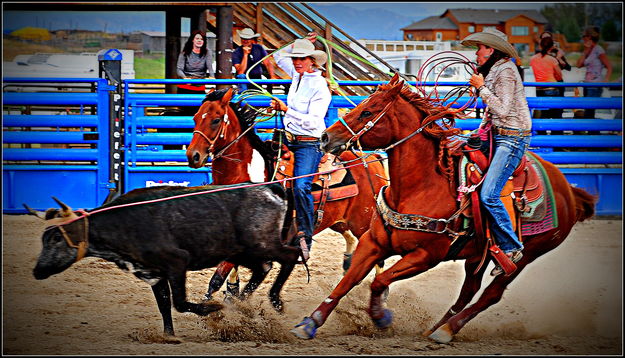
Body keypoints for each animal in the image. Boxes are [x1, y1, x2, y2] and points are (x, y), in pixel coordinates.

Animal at [185, 88, 388, 304]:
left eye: (216, 120)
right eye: (195, 117)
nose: (193, 156)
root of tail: (370, 159)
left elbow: (219, 277)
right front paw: (232, 292)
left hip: (363, 222)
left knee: (377, 253)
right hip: (338, 220)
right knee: (349, 237)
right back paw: (347, 263)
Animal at [292, 74, 596, 342]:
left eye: (368, 111)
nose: (325, 137)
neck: (421, 187)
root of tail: (567, 190)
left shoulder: (426, 256)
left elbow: (379, 281)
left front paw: (381, 317)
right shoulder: (373, 242)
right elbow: (347, 281)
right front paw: (309, 323)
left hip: (528, 254)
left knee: (491, 294)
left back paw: (447, 331)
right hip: (478, 254)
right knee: (468, 290)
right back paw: (436, 327)